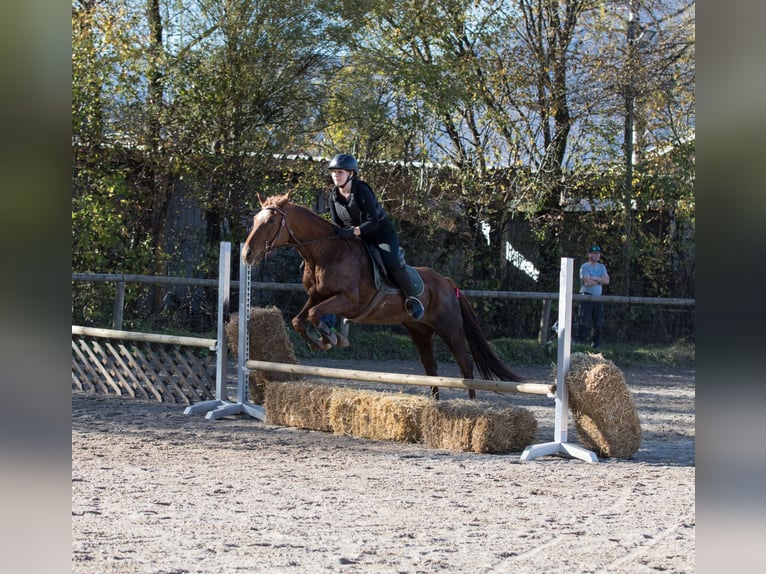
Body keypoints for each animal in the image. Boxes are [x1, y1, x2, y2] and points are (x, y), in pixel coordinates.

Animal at [243, 191, 524, 398]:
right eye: (254, 220)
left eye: (270, 222)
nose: (247, 254)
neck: (324, 253)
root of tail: (447, 282)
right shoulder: (317, 296)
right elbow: (299, 319)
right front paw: (322, 341)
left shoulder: (348, 300)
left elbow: (313, 315)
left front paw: (330, 339)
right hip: (420, 331)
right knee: (431, 368)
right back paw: (435, 406)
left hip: (450, 327)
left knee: (466, 366)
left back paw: (472, 407)